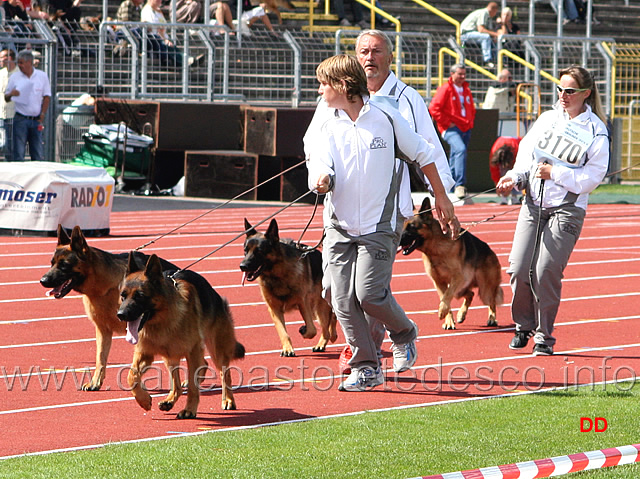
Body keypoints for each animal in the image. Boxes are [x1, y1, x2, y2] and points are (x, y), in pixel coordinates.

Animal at [39, 227, 178, 392]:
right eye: (52, 263)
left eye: (64, 265)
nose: (42, 281)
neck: (104, 287)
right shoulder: (103, 330)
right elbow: (100, 357)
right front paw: (95, 382)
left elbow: (136, 364)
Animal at [117, 255, 245, 416]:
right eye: (123, 296)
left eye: (139, 296)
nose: (120, 315)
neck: (162, 320)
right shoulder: (145, 353)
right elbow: (131, 375)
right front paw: (143, 400)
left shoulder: (193, 351)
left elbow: (193, 387)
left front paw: (189, 409)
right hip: (170, 358)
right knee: (179, 382)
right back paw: (169, 400)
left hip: (217, 351)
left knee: (224, 373)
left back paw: (228, 399)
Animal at [240, 219, 338, 358]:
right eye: (245, 250)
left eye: (259, 251)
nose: (242, 266)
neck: (277, 274)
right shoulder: (274, 309)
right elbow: (283, 332)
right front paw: (287, 349)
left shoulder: (303, 303)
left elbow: (311, 330)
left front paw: (304, 330)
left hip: (321, 306)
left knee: (328, 325)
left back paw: (323, 342)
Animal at [398, 198, 502, 330]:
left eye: (411, 226)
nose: (397, 240)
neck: (435, 248)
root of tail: (490, 250)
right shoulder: (438, 282)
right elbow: (444, 298)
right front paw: (449, 320)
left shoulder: (457, 278)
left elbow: (447, 296)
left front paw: (442, 311)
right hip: (461, 290)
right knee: (470, 294)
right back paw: (461, 314)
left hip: (484, 290)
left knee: (491, 301)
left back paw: (492, 318)